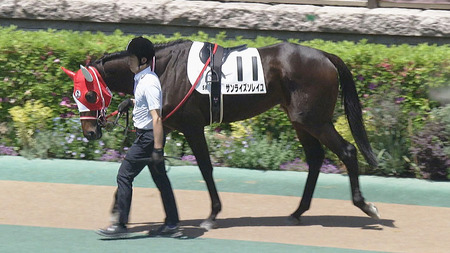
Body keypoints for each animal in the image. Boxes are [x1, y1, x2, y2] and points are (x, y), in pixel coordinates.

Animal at [62, 40, 380, 229]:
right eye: (76, 95)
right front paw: (118, 211)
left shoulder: (191, 126)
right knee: (315, 158)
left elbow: (205, 167)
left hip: (314, 119)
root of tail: (325, 55)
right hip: (301, 120)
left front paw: (212, 215)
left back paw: (365, 205)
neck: (165, 69)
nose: (90, 132)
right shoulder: (166, 126)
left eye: (88, 94)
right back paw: (298, 211)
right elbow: (141, 164)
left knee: (347, 151)